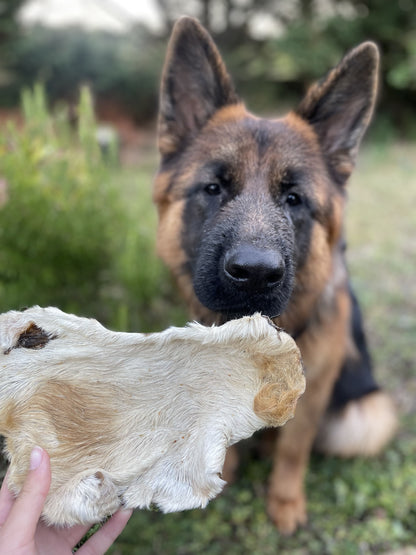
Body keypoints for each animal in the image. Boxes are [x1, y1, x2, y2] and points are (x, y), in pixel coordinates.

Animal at [152, 18, 396, 536]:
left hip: (366, 416)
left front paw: (284, 503)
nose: (255, 275)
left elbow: (293, 449)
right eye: (213, 187)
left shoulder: (316, 391)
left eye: (294, 198)